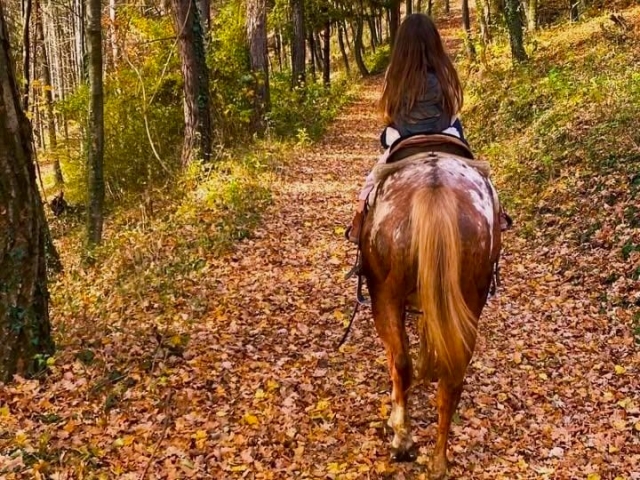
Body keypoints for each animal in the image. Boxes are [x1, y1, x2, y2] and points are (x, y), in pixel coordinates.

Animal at [359, 146, 502, 478]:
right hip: (470, 296)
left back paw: (402, 440)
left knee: (400, 362)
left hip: (384, 295)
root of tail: (435, 189)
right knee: (453, 376)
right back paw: (438, 461)